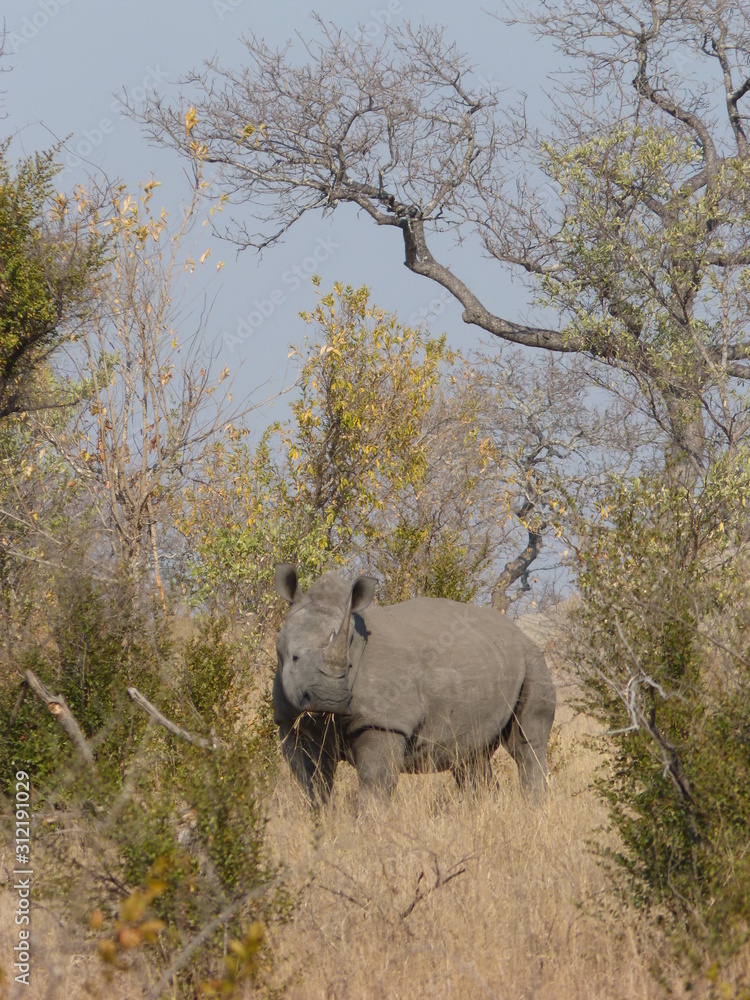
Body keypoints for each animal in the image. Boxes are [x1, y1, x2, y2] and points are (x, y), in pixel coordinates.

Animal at [272, 565, 556, 806]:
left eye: (349, 666)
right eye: (294, 658)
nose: (329, 699)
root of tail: (520, 633)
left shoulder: (384, 721)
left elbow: (375, 783)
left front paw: (368, 828)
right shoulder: (290, 721)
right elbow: (312, 783)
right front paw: (320, 823)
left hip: (533, 659)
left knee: (527, 744)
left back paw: (534, 809)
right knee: (471, 757)